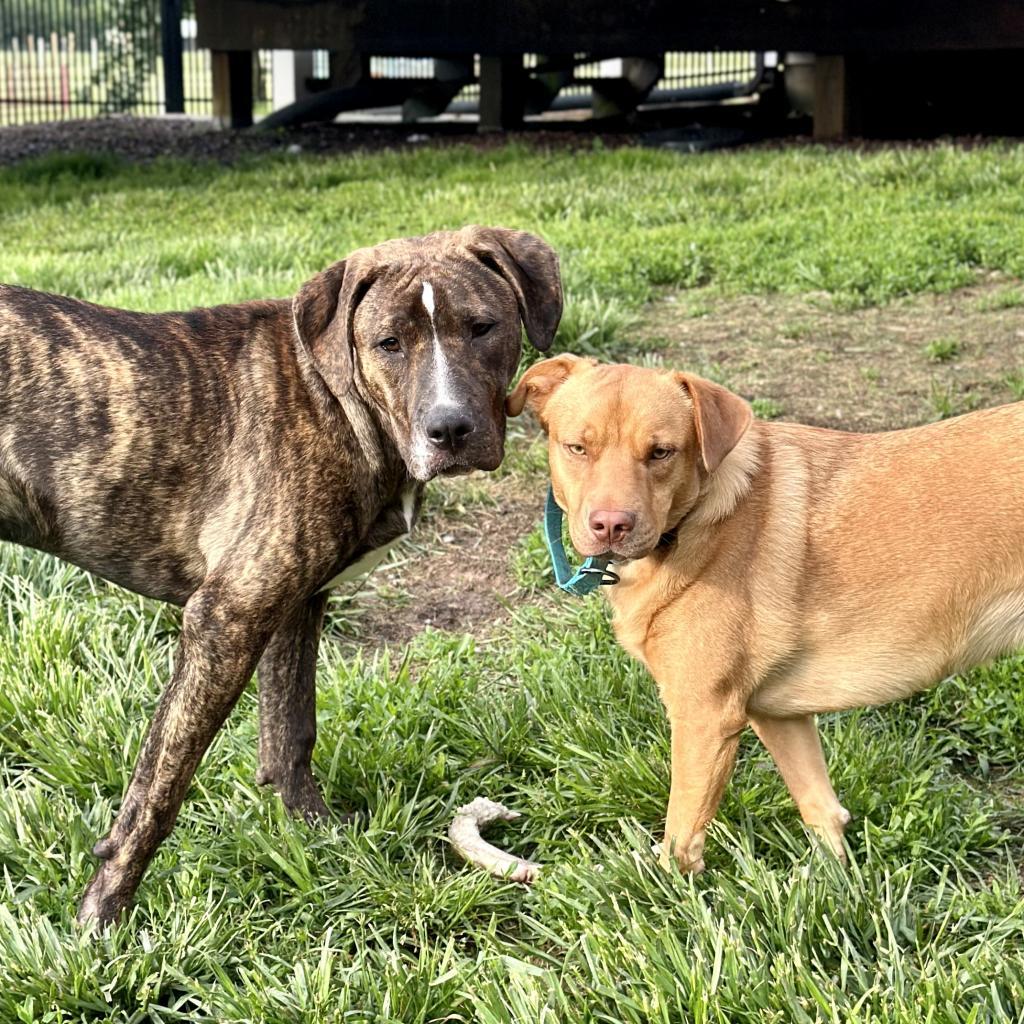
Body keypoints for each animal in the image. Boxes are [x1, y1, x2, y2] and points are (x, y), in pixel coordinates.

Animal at [0, 226, 561, 929]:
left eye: (484, 327)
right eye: (388, 343)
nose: (450, 428)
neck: (337, 401)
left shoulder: (296, 605)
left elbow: (290, 734)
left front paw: (325, 843)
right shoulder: (227, 615)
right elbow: (158, 787)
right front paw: (102, 923)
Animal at [507, 356, 1024, 876]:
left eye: (661, 453)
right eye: (577, 448)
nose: (611, 525)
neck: (695, 522)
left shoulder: (704, 718)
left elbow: (679, 842)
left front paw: (665, 889)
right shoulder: (778, 715)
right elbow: (821, 810)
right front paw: (834, 884)